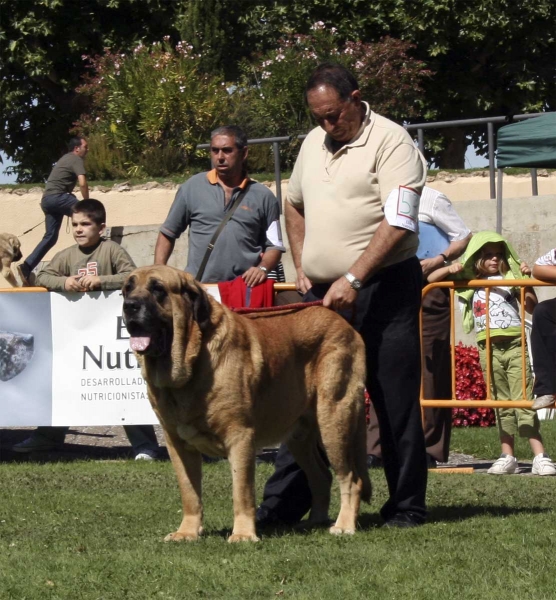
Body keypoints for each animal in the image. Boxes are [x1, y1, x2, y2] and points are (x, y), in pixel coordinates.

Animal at [124, 264, 372, 540]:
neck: (192, 363)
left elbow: (241, 490)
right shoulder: (176, 443)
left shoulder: (240, 436)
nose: (129, 305)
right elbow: (189, 491)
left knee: (351, 478)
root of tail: (347, 325)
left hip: (334, 421)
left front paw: (243, 534)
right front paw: (186, 532)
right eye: (127, 288)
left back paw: (344, 525)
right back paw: (315, 521)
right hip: (300, 436)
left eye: (158, 289)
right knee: (321, 476)